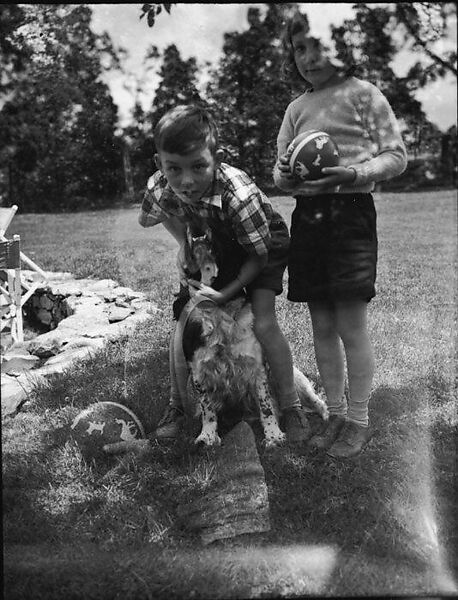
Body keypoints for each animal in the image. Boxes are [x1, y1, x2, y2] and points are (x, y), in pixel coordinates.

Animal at [172, 223, 330, 448]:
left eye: (219, 239)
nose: (196, 228)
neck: (220, 312)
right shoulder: (199, 371)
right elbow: (207, 408)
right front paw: (207, 436)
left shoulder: (256, 368)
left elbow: (266, 407)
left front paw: (274, 436)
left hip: (297, 380)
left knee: (314, 400)